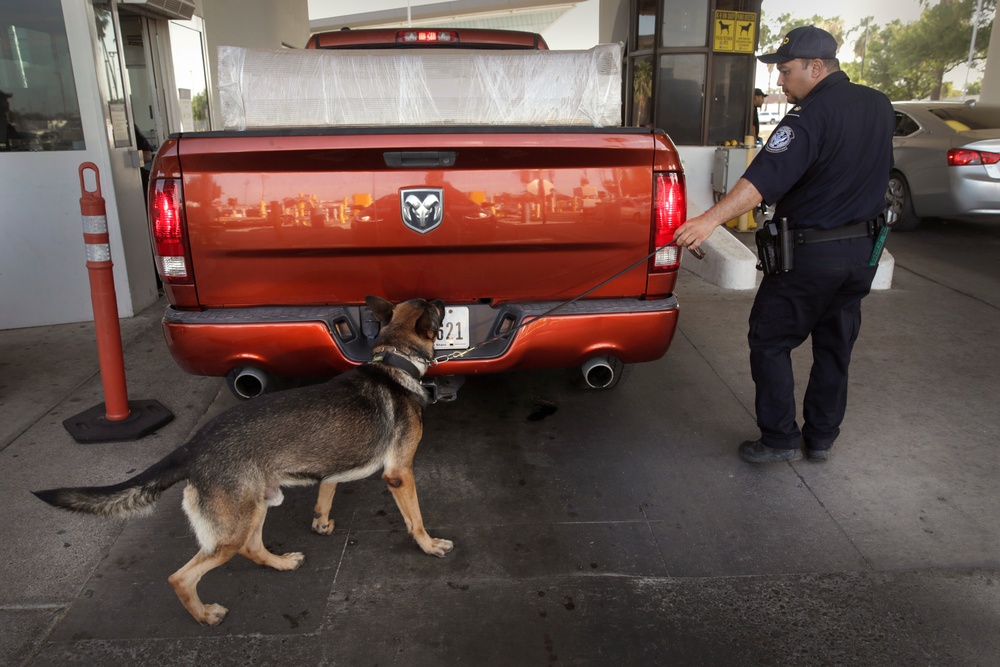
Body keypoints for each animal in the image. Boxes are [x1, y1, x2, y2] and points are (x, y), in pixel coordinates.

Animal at [33, 298, 452, 628]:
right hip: (233, 528)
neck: (394, 359)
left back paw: (280, 563)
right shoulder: (399, 475)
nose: (443, 298)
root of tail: (193, 446)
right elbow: (414, 518)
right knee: (181, 577)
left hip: (257, 504)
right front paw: (429, 544)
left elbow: (327, 489)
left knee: (251, 548)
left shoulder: (333, 463)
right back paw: (205, 615)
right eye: (434, 307)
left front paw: (320, 521)